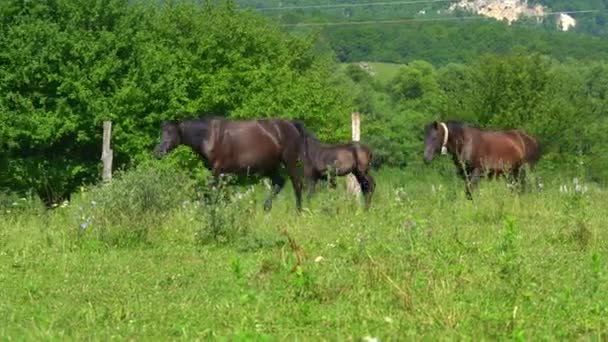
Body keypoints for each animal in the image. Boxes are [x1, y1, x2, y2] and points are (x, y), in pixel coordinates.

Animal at [154, 117, 306, 211]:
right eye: (162, 133)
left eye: (171, 133)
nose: (158, 152)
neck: (210, 136)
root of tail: (291, 125)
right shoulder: (221, 173)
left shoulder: (217, 171)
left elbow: (210, 194)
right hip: (270, 166)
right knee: (279, 183)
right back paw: (266, 208)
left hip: (289, 162)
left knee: (297, 184)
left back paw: (298, 212)